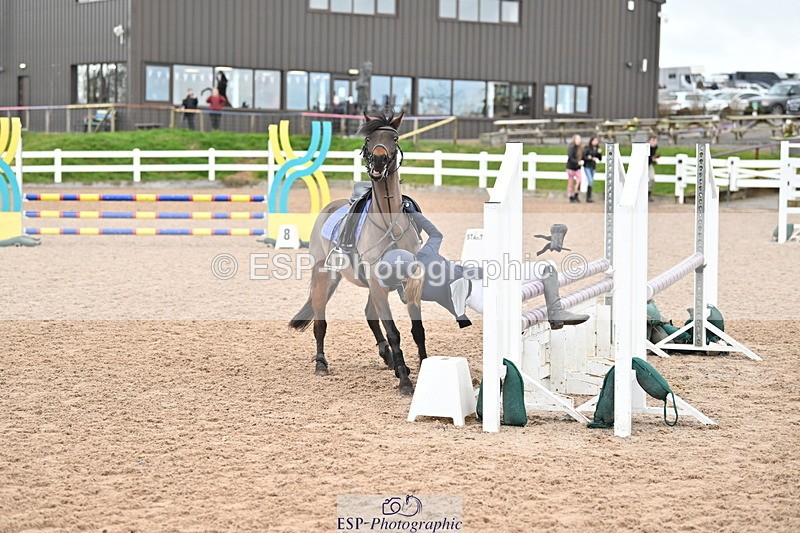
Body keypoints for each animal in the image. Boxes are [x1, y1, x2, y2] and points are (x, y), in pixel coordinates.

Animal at [289, 110, 426, 396]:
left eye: (394, 138)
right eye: (368, 138)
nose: (379, 160)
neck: (389, 222)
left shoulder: (408, 281)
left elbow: (417, 330)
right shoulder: (377, 282)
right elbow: (393, 331)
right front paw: (405, 383)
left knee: (370, 315)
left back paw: (392, 361)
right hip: (323, 276)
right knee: (320, 321)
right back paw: (321, 363)